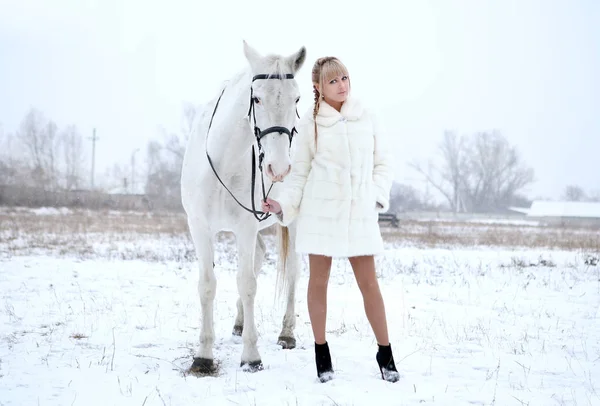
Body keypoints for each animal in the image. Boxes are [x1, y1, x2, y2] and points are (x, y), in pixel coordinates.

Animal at [180, 41, 308, 374]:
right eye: (257, 97)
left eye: (297, 98)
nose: (278, 167)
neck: (224, 161)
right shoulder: (199, 227)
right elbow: (208, 284)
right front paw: (203, 356)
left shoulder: (246, 227)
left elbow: (247, 283)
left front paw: (251, 356)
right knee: (260, 257)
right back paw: (239, 324)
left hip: (292, 222)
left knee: (292, 270)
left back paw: (287, 333)